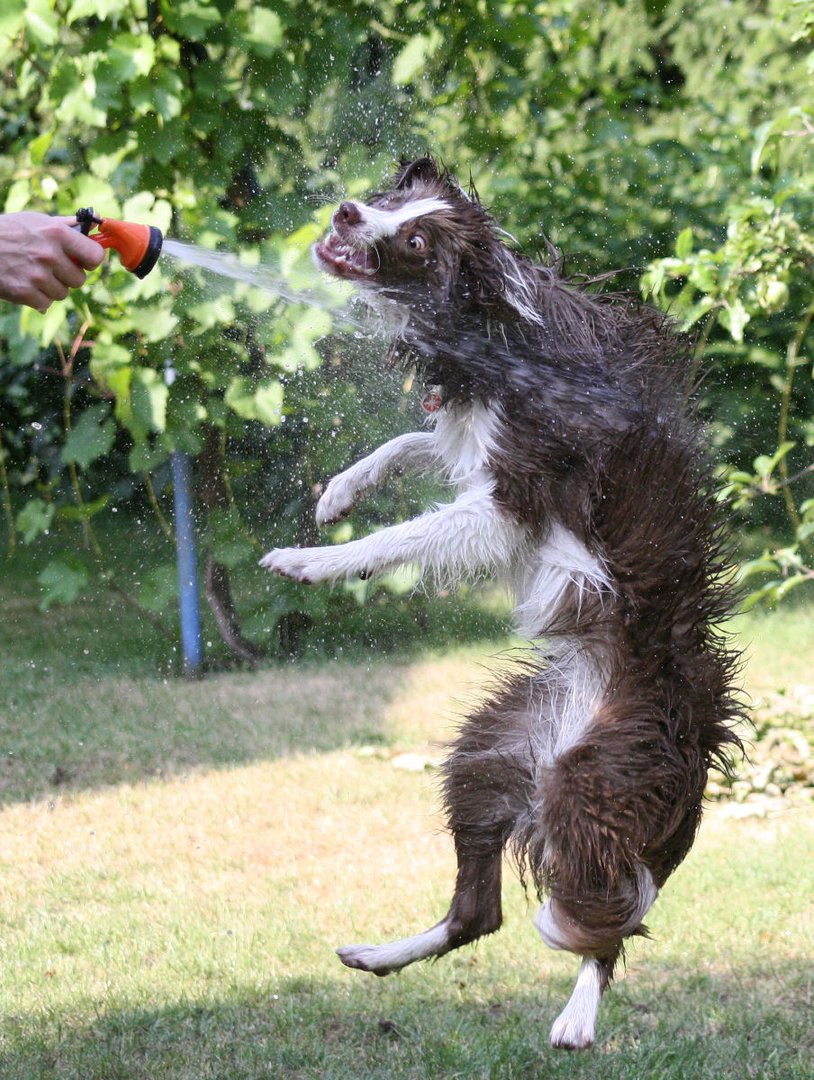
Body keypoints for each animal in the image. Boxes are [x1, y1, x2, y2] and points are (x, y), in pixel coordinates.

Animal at [261, 157, 742, 1045]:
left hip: (590, 789)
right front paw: (340, 491)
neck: (498, 325)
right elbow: (412, 441)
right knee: (478, 911)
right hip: (487, 753)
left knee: (605, 924)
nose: (346, 211)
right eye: (391, 201)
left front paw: (312, 560)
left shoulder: (513, 498)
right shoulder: (474, 439)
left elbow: (404, 535)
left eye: (417, 241)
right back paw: (380, 956)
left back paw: (577, 1017)